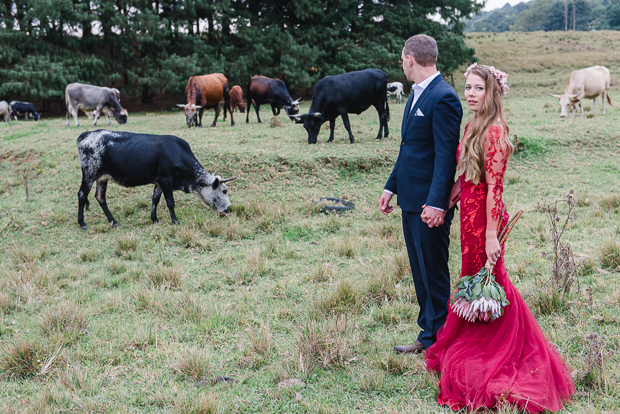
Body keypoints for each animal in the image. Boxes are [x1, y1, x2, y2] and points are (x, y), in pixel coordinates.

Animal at [75, 130, 235, 230]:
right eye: (224, 191)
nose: (228, 209)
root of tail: (87, 134)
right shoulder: (166, 182)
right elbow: (170, 203)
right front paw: (175, 221)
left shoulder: (159, 183)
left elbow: (155, 200)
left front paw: (155, 219)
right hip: (89, 174)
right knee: (82, 194)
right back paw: (82, 222)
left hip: (102, 178)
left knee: (100, 197)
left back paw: (114, 222)